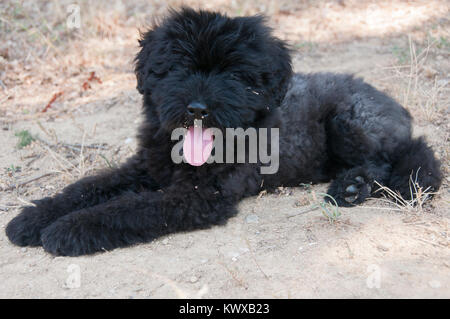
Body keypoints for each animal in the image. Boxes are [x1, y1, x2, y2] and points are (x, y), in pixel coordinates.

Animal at [6, 8, 442, 258]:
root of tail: (396, 106)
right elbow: (87, 187)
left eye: (233, 75)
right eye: (179, 68)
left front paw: (67, 230)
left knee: (395, 157)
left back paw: (352, 187)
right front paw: (33, 218)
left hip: (349, 121)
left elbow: (127, 209)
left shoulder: (199, 196)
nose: (198, 108)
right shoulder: (144, 168)